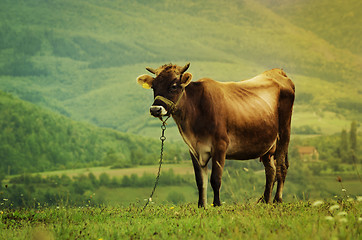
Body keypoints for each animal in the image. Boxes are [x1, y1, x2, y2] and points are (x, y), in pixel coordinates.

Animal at [136, 62, 294, 207]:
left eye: (173, 86)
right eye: (153, 86)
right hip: (267, 144)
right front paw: (201, 205)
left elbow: (215, 178)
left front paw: (216, 204)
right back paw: (265, 201)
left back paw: (277, 200)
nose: (155, 109)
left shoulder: (220, 145)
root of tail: (277, 72)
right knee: (270, 170)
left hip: (284, 132)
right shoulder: (193, 149)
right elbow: (200, 181)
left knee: (281, 166)